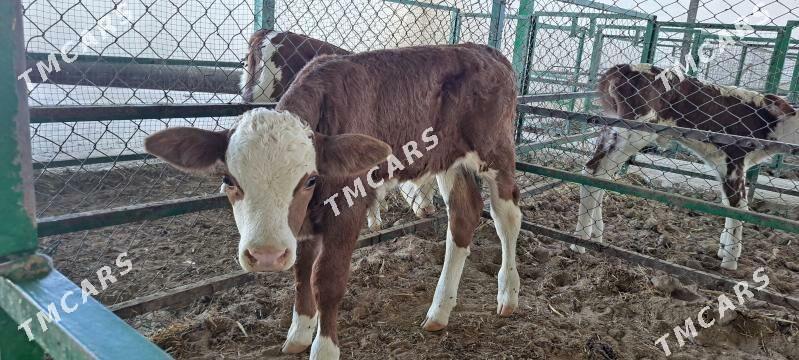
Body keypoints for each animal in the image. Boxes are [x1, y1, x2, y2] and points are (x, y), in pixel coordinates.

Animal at [576, 63, 799, 270]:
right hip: (635, 131)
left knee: (599, 174)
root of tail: (623, 68)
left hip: (612, 129)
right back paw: (580, 241)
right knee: (596, 171)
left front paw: (723, 250)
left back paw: (595, 234)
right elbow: (740, 207)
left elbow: (727, 204)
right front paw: (730, 260)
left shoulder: (722, 165)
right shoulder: (734, 160)